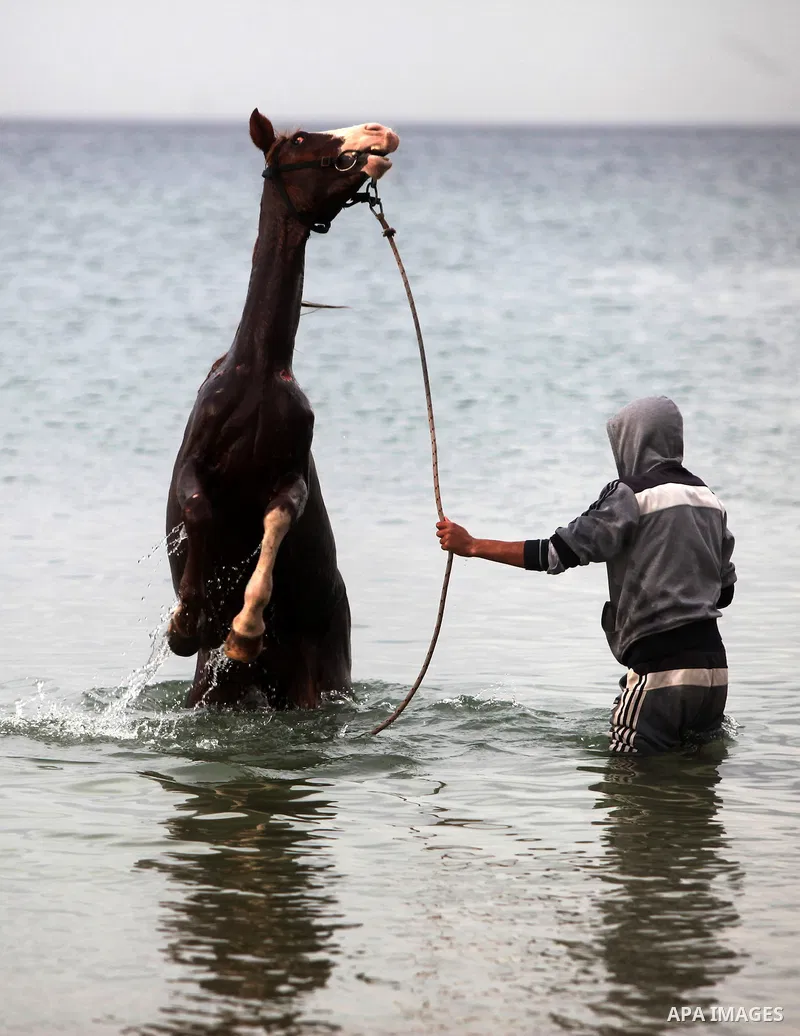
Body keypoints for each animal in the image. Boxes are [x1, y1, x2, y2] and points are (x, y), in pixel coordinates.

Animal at [165, 109, 399, 708]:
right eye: (297, 138)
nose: (379, 132)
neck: (260, 373)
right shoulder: (191, 465)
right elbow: (199, 509)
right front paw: (186, 619)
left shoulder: (292, 473)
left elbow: (277, 518)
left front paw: (245, 629)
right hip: (210, 689)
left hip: (318, 683)